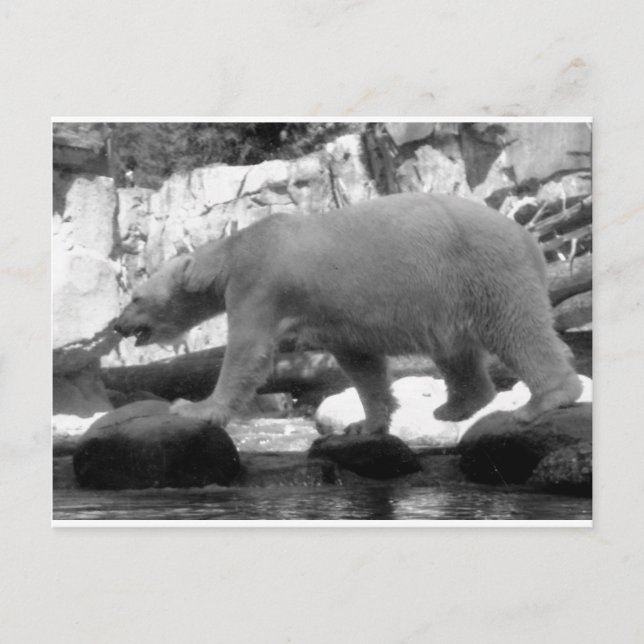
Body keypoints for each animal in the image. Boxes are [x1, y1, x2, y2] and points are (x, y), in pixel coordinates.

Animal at [114, 192, 582, 434]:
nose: (117, 325)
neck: (235, 249)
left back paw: (542, 401)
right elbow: (361, 363)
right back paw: (454, 407)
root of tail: (529, 238)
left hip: (481, 270)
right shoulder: (334, 318)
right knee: (456, 349)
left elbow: (248, 351)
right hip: (451, 295)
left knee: (517, 330)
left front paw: (193, 408)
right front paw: (367, 424)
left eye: (134, 298)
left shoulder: (260, 284)